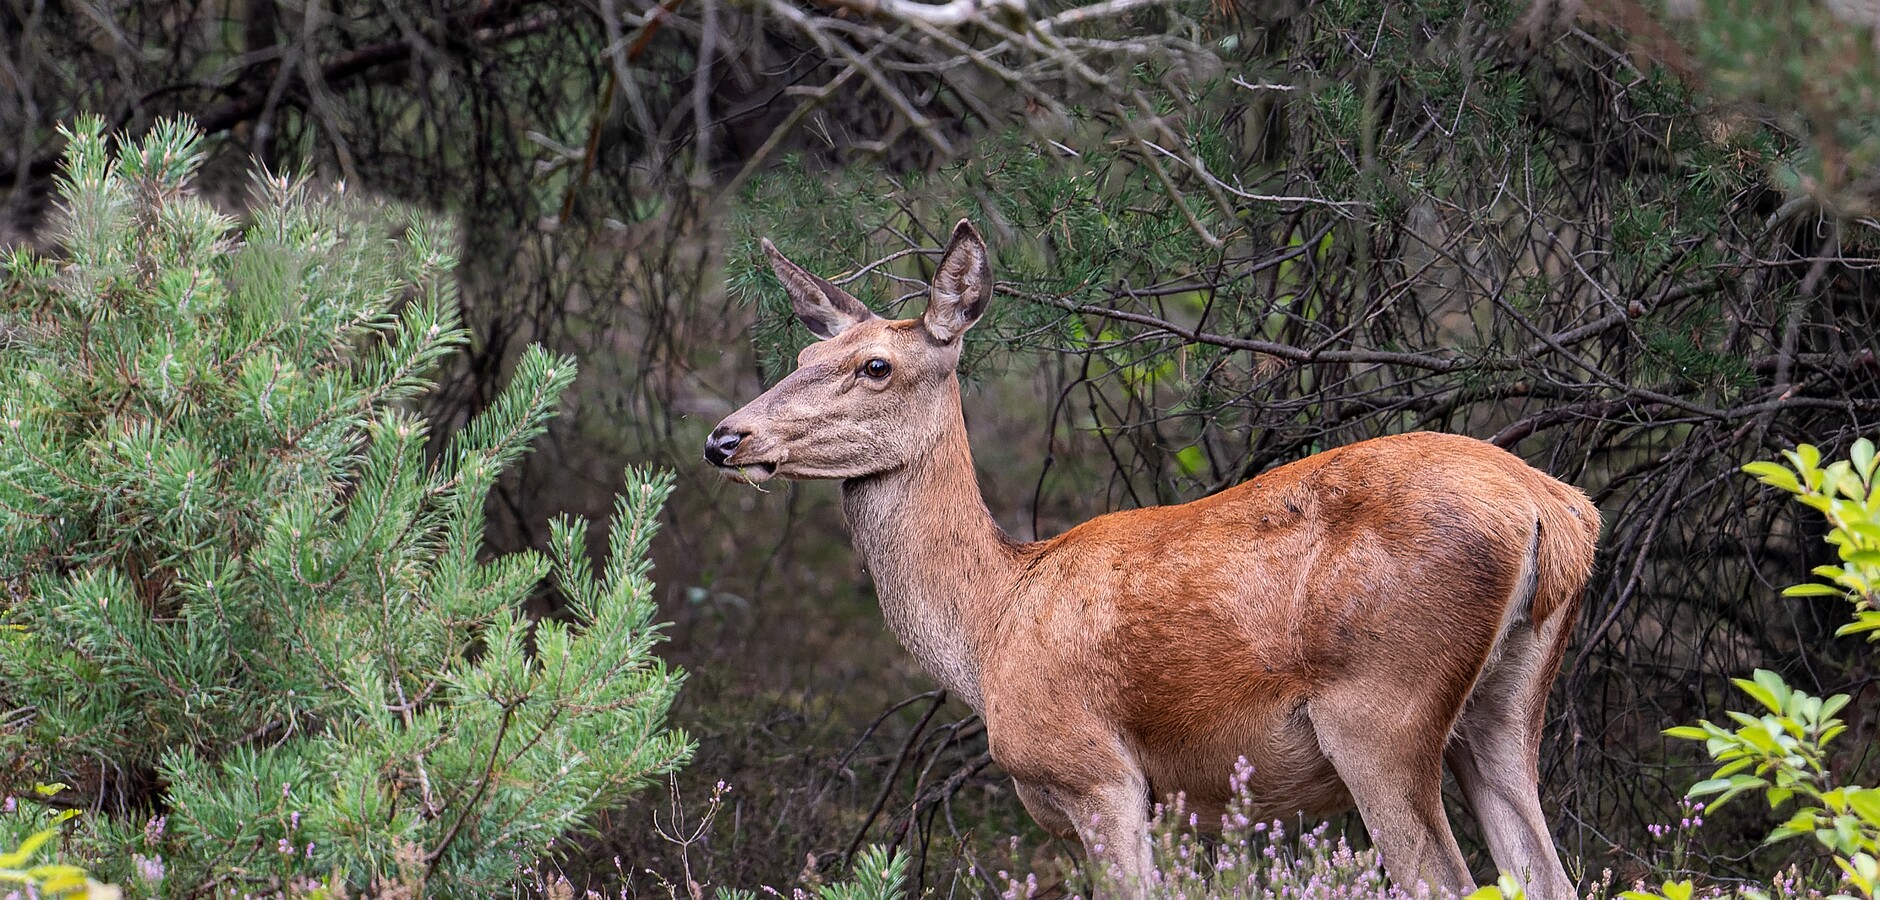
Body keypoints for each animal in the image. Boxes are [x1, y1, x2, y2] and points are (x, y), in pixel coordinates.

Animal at [704, 220, 1600, 899]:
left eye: (876, 366)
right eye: (799, 361)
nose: (725, 438)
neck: (989, 627)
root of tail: (1553, 511)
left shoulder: (1093, 772)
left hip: (1383, 709)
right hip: (1506, 706)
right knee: (1548, 874)